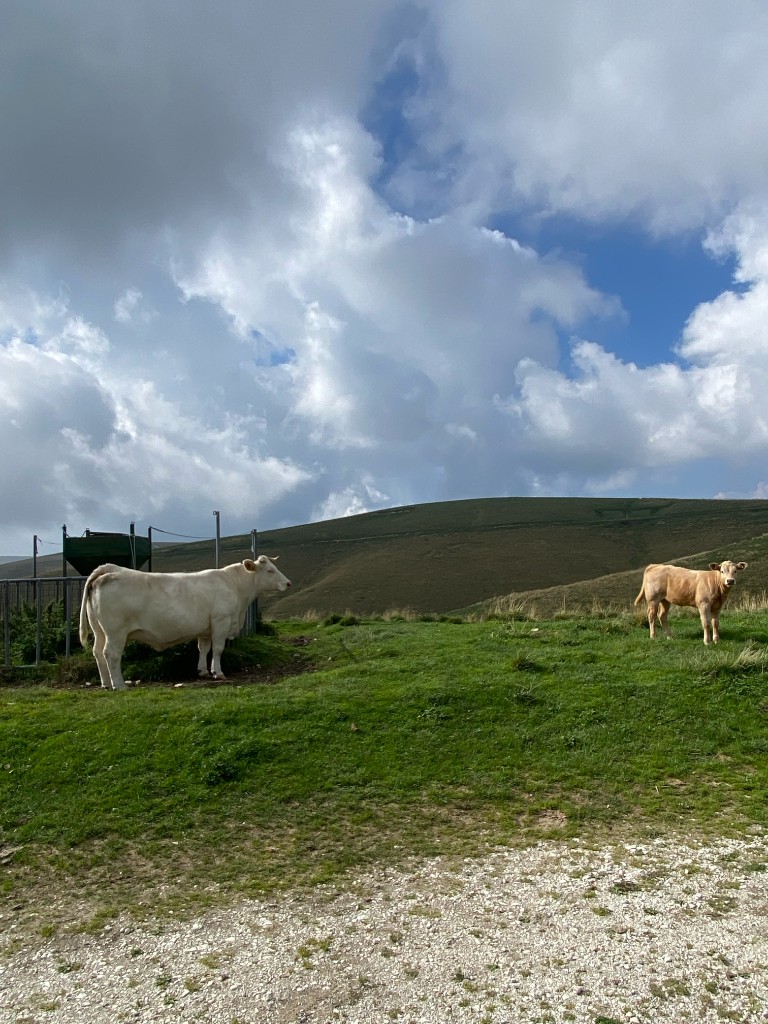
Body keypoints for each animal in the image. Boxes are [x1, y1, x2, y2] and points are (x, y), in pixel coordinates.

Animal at [79, 556, 291, 690]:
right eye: (270, 570)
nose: (288, 583)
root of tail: (109, 571)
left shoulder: (206, 628)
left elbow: (203, 648)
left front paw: (204, 671)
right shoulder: (221, 621)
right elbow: (218, 649)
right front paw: (219, 673)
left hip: (99, 631)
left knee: (97, 652)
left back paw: (106, 683)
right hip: (115, 633)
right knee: (111, 654)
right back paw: (119, 685)